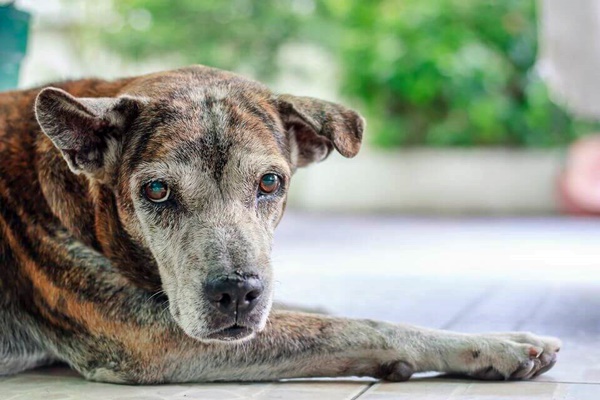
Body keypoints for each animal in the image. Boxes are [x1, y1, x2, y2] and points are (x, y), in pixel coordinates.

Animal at [1, 66, 564, 384]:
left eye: (270, 182)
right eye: (156, 191)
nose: (236, 293)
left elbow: (322, 312)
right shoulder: (152, 339)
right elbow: (352, 327)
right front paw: (497, 346)